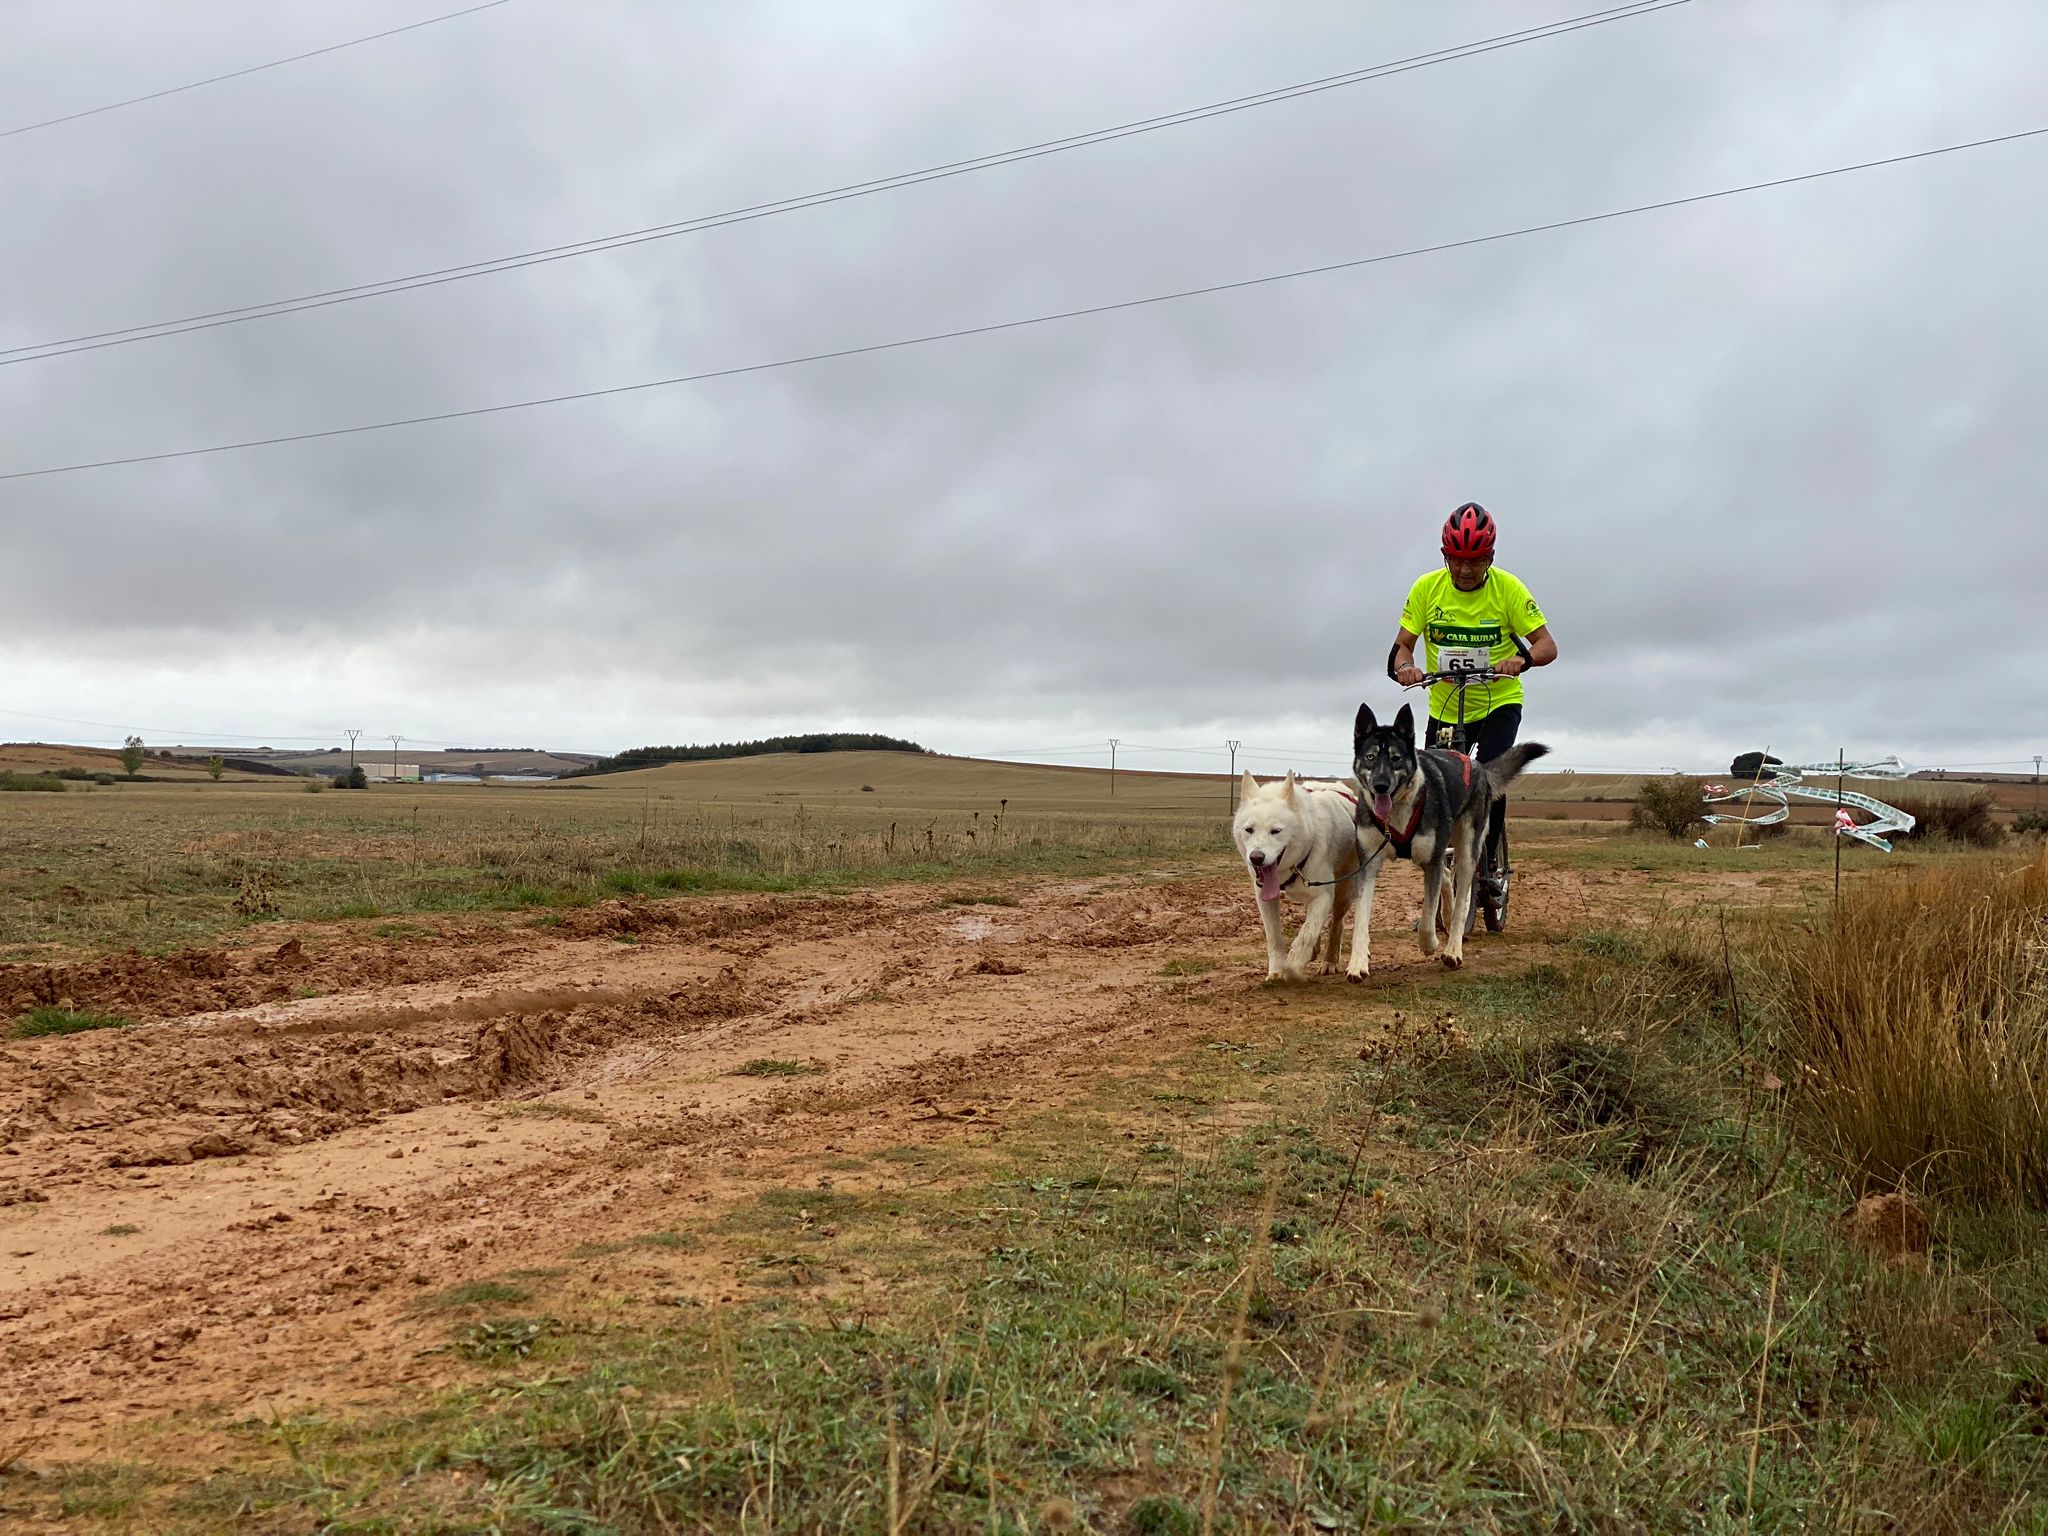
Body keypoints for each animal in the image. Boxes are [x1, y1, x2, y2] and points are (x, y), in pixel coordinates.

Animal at [1228, 770, 1359, 987]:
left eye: (1276, 831)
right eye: (1249, 830)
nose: (1256, 857)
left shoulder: (1323, 896)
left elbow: (1307, 933)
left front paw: (1292, 967)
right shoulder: (1264, 898)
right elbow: (1274, 937)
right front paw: (1276, 971)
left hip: (1344, 889)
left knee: (1336, 923)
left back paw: (1330, 960)